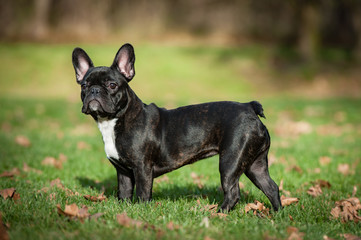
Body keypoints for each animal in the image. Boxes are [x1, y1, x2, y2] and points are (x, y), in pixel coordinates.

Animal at [71, 43, 282, 212]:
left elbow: (142, 194)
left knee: (233, 192)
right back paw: (277, 214)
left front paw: (140, 212)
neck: (115, 120)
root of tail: (249, 108)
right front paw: (124, 210)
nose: (94, 91)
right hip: (255, 164)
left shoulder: (142, 168)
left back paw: (218, 214)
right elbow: (124, 193)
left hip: (230, 162)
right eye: (84, 86)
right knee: (271, 187)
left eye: (112, 85)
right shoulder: (123, 172)